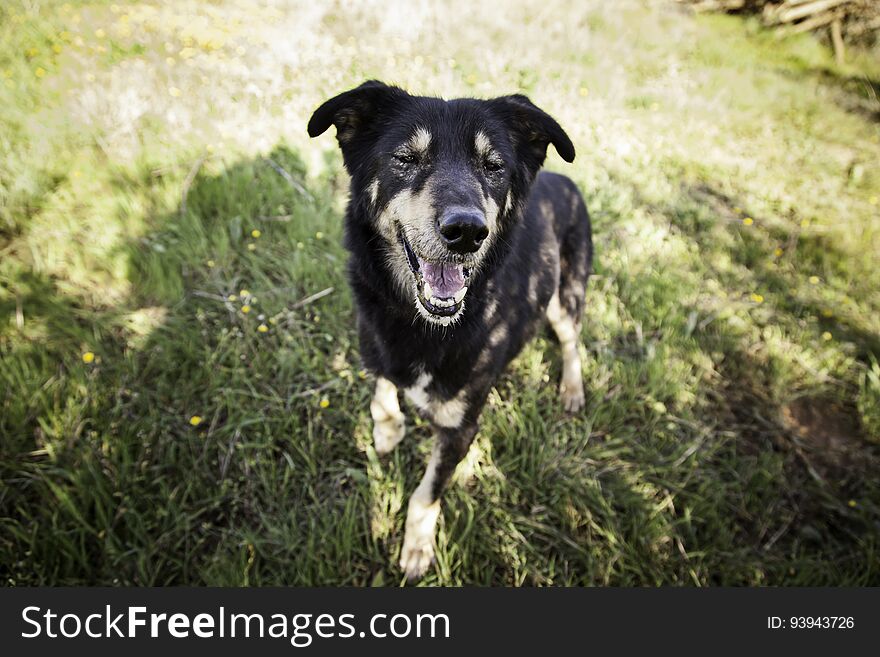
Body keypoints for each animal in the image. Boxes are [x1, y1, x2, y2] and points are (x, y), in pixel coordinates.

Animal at [308, 82, 592, 580]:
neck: (421, 323)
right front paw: (388, 431)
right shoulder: (373, 335)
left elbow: (428, 491)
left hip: (565, 293)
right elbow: (383, 388)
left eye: (493, 166)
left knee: (572, 340)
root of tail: (566, 182)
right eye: (406, 158)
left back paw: (572, 388)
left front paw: (417, 546)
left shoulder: (462, 426)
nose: (466, 231)